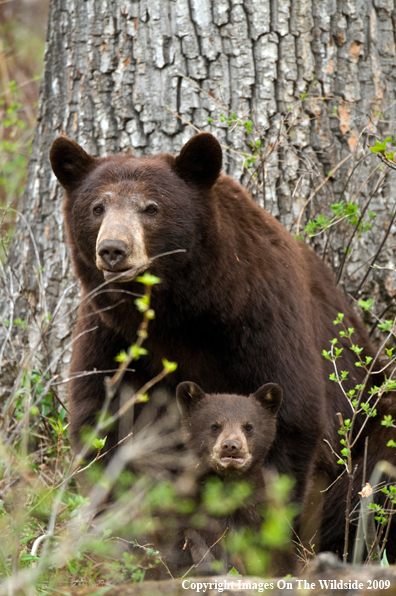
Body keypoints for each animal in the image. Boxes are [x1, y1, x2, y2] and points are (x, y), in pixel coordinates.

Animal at [50, 133, 396, 560]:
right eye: (98, 206)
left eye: (151, 207)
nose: (114, 249)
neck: (180, 312)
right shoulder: (111, 335)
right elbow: (105, 425)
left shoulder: (263, 319)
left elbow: (290, 421)